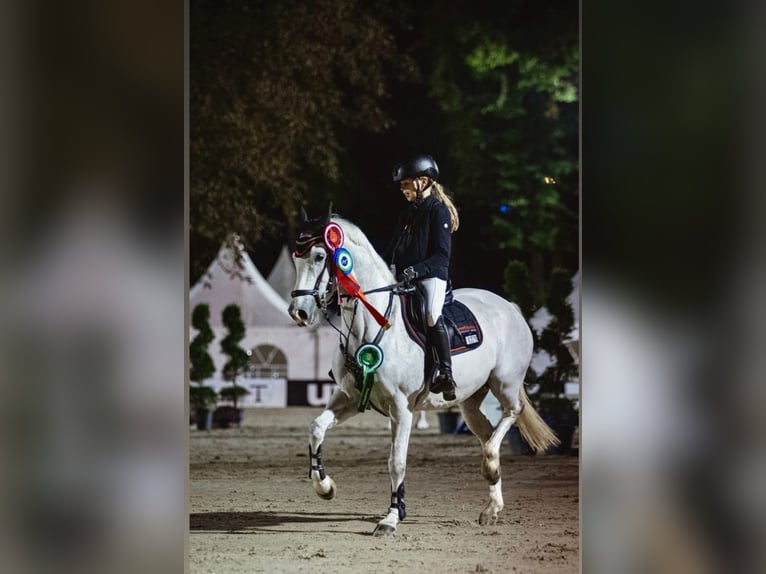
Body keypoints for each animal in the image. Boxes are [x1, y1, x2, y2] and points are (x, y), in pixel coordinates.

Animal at [288, 214, 560, 536]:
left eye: (319, 257)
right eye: (296, 259)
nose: (299, 313)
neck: (375, 323)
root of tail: (512, 307)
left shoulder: (401, 408)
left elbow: (396, 462)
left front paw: (391, 517)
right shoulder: (349, 397)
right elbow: (316, 428)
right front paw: (325, 487)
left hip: (505, 383)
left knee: (512, 413)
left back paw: (491, 467)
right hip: (470, 401)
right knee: (487, 433)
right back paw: (492, 504)